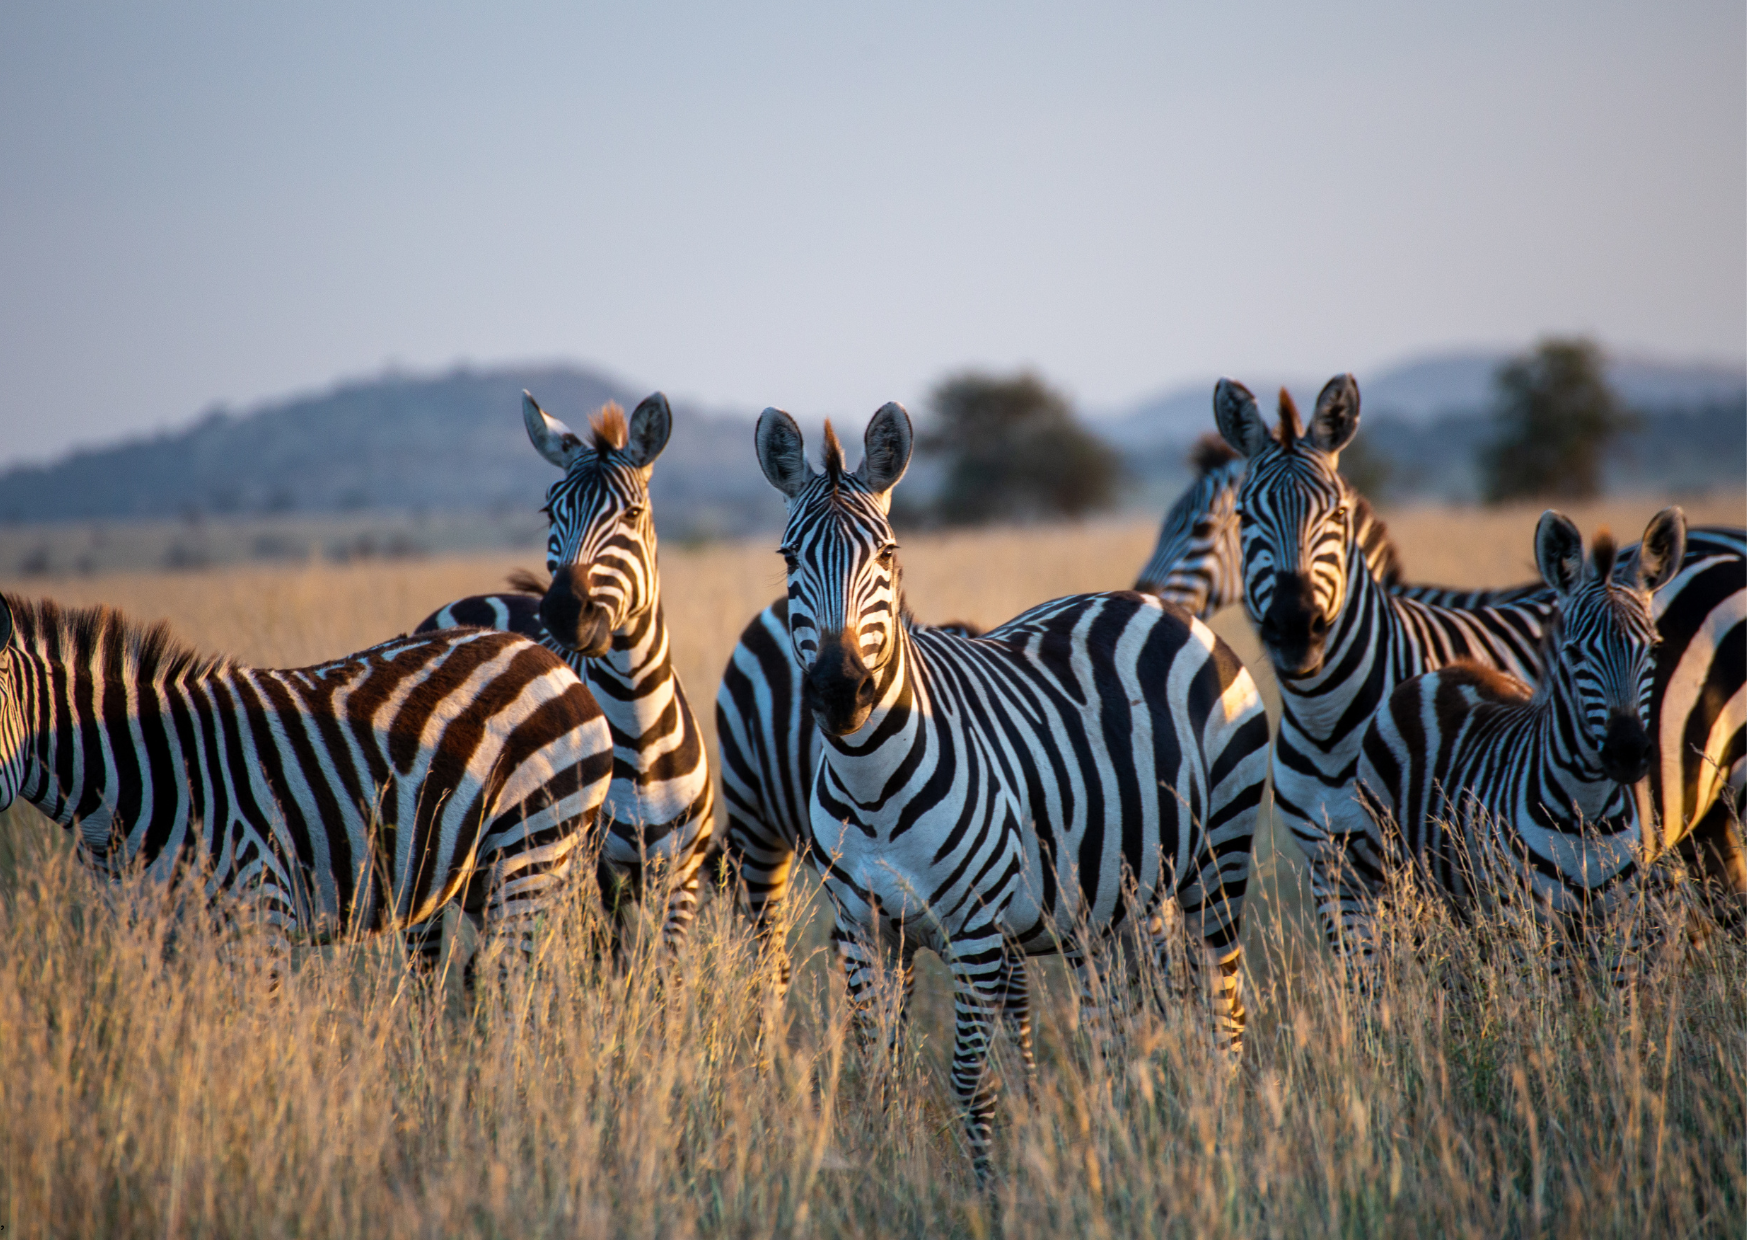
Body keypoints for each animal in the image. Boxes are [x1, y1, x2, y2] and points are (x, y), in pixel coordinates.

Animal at [0, 594, 613, 980]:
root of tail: (546, 655)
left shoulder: (259, 912)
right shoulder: (146, 933)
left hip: (531, 848)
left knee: (518, 987)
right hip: (479, 874)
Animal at [417, 391, 716, 948]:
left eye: (633, 513)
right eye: (550, 509)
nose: (562, 611)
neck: (640, 727)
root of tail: (475, 600)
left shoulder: (680, 879)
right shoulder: (591, 878)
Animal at [752, 401, 1271, 1178]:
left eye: (888, 555)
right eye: (789, 559)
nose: (842, 692)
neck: (871, 784)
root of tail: (1159, 607)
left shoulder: (974, 932)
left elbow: (971, 1079)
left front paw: (986, 1190)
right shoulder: (863, 931)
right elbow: (879, 1074)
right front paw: (884, 1175)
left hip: (1218, 862)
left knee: (1222, 1007)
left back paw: (1224, 1137)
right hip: (1118, 903)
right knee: (1122, 1029)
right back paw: (1125, 1141)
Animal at [1340, 508, 1685, 968]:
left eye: (1654, 648)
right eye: (1574, 653)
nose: (1627, 752)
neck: (1587, 811)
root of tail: (1446, 671)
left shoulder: (1621, 924)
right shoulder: (1531, 926)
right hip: (1394, 874)